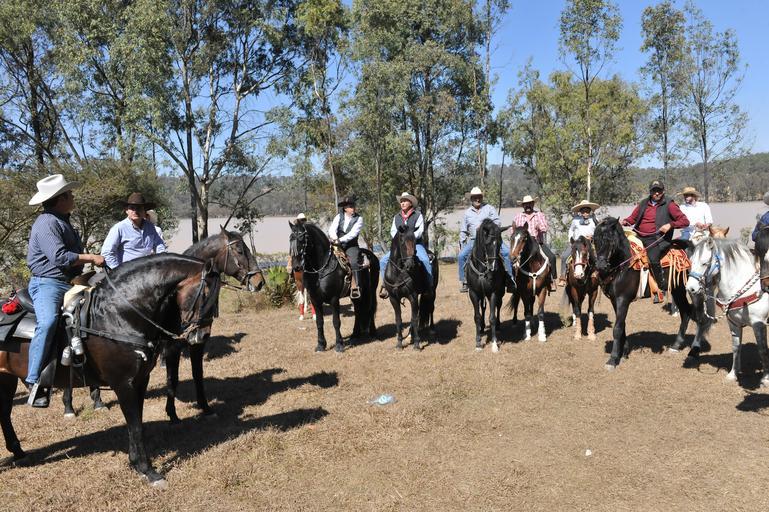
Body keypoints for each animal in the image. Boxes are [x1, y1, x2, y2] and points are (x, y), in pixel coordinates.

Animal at [0, 254, 221, 485]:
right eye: (205, 293)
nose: (202, 336)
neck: (116, 316)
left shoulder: (140, 381)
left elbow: (137, 422)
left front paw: (136, 464)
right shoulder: (123, 384)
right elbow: (135, 425)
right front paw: (149, 471)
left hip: (6, 379)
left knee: (4, 414)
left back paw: (19, 452)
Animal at [288, 222, 379, 352]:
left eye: (302, 238)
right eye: (290, 239)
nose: (296, 266)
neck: (321, 270)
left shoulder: (334, 299)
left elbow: (336, 321)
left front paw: (339, 345)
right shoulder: (315, 299)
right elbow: (319, 322)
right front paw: (321, 345)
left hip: (370, 290)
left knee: (370, 308)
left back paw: (373, 332)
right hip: (356, 295)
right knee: (358, 311)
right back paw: (355, 335)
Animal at [465, 219, 509, 352]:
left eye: (500, 243)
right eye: (487, 243)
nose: (494, 268)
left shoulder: (493, 292)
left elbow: (492, 317)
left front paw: (494, 344)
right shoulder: (473, 293)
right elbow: (477, 317)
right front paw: (478, 343)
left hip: (500, 292)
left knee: (498, 306)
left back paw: (498, 326)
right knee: (482, 308)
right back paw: (482, 327)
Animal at [593, 218, 708, 369]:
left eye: (611, 241)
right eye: (594, 240)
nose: (600, 266)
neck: (624, 264)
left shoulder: (623, 299)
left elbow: (617, 328)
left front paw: (612, 360)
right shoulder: (614, 300)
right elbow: (622, 325)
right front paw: (624, 352)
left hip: (693, 291)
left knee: (700, 317)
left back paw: (694, 351)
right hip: (677, 290)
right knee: (686, 313)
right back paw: (676, 345)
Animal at [686, 237, 769, 384]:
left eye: (704, 263)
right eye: (691, 261)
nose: (691, 288)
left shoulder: (759, 324)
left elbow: (762, 349)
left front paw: (766, 379)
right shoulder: (733, 323)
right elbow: (736, 347)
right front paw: (733, 374)